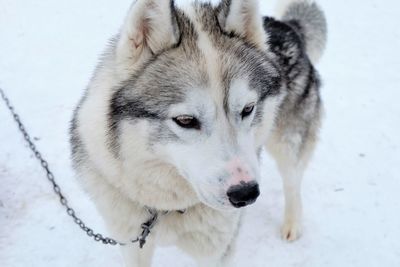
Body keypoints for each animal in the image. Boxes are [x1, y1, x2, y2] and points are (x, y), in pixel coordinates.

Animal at [70, 0, 326, 264]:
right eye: (185, 120)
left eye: (248, 109)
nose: (246, 193)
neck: (166, 208)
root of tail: (285, 26)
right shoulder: (132, 244)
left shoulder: (216, 251)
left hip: (287, 143)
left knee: (292, 182)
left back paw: (292, 224)